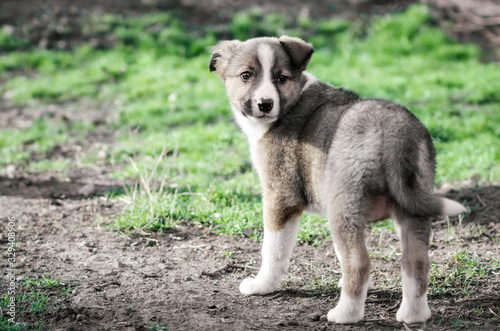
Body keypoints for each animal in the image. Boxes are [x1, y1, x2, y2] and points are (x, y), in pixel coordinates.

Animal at [208, 35, 464, 324]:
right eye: (246, 76)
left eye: (281, 78)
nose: (265, 104)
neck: (291, 101)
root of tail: (393, 131)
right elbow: (339, 254)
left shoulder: (280, 197)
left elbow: (273, 250)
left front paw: (261, 286)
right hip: (412, 203)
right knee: (416, 261)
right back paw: (413, 315)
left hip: (343, 207)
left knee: (359, 262)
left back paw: (345, 314)